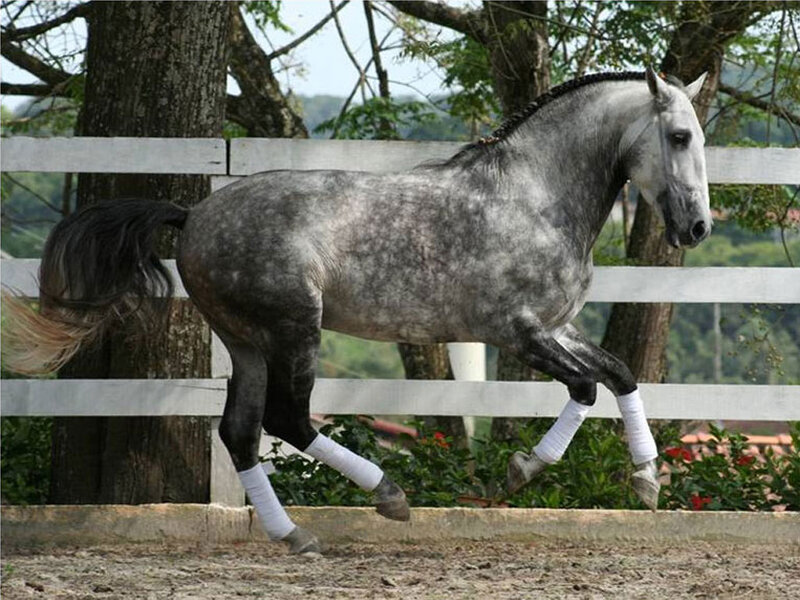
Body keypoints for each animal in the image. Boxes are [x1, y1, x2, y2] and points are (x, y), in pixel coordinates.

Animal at [4, 68, 711, 554]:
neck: (532, 198)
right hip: (295, 330)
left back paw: (294, 535)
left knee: (239, 433)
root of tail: (194, 215)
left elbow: (619, 375)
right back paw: (388, 497)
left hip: (247, 343)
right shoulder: (517, 332)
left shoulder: (558, 326)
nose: (698, 228)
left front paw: (647, 482)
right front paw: (522, 471)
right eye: (678, 136)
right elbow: (587, 386)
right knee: (287, 421)